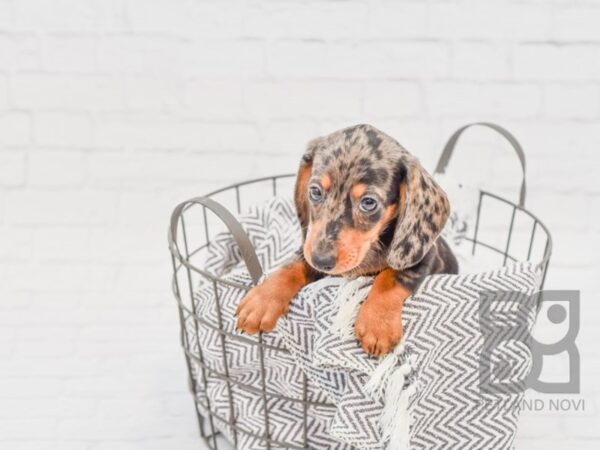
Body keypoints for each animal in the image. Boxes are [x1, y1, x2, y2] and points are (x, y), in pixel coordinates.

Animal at [236, 125, 460, 356]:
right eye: (315, 191)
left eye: (368, 202)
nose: (321, 260)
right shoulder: (309, 249)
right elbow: (293, 265)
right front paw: (262, 300)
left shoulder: (424, 257)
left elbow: (392, 277)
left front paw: (377, 324)